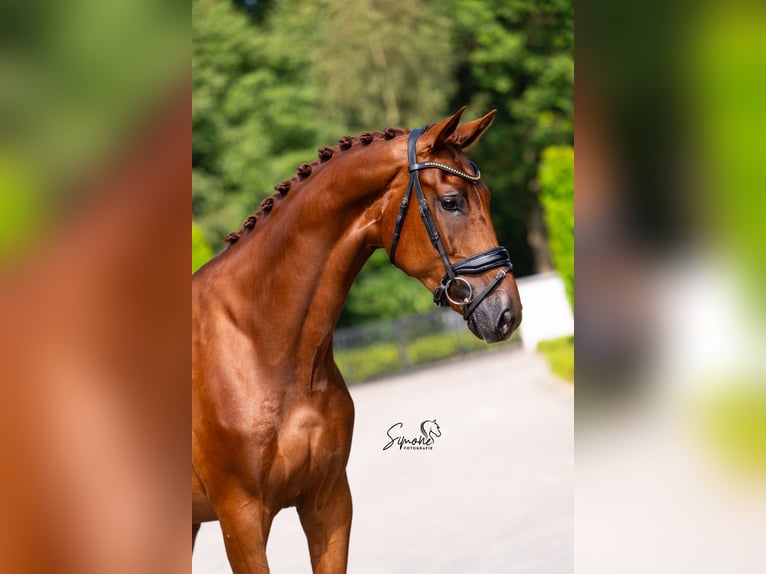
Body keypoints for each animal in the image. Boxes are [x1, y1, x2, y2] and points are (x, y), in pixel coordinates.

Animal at [195, 107, 524, 572]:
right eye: (451, 201)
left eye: (489, 198)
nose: (507, 313)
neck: (264, 345)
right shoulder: (239, 520)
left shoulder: (329, 502)